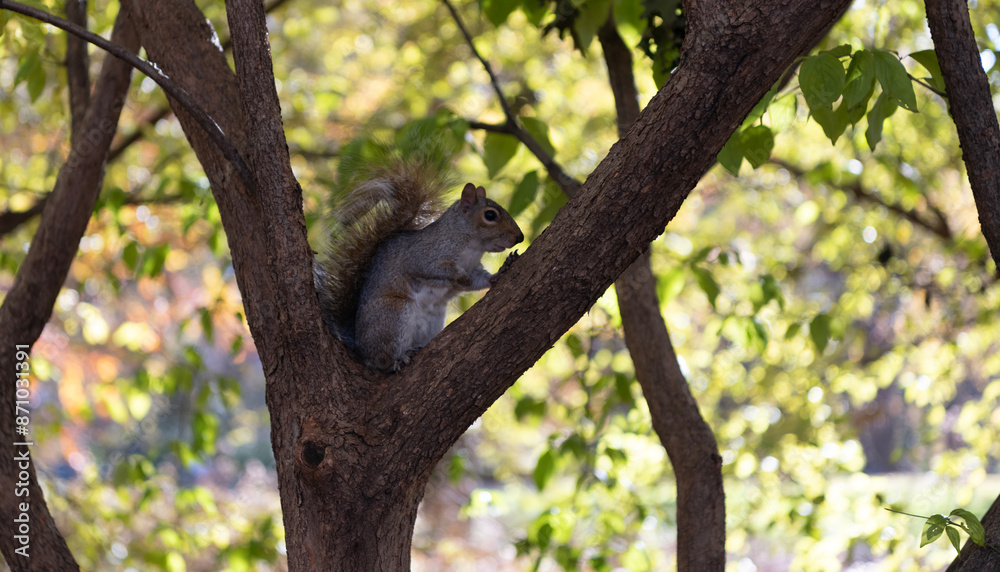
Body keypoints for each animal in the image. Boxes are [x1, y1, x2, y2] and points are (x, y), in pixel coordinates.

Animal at [314, 139, 524, 372]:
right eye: (490, 215)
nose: (520, 237)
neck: (471, 245)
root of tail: (359, 348)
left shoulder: (474, 266)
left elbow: (481, 279)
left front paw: (501, 271)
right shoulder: (424, 254)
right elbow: (433, 269)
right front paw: (460, 277)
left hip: (432, 322)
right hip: (394, 314)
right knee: (379, 361)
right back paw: (397, 360)